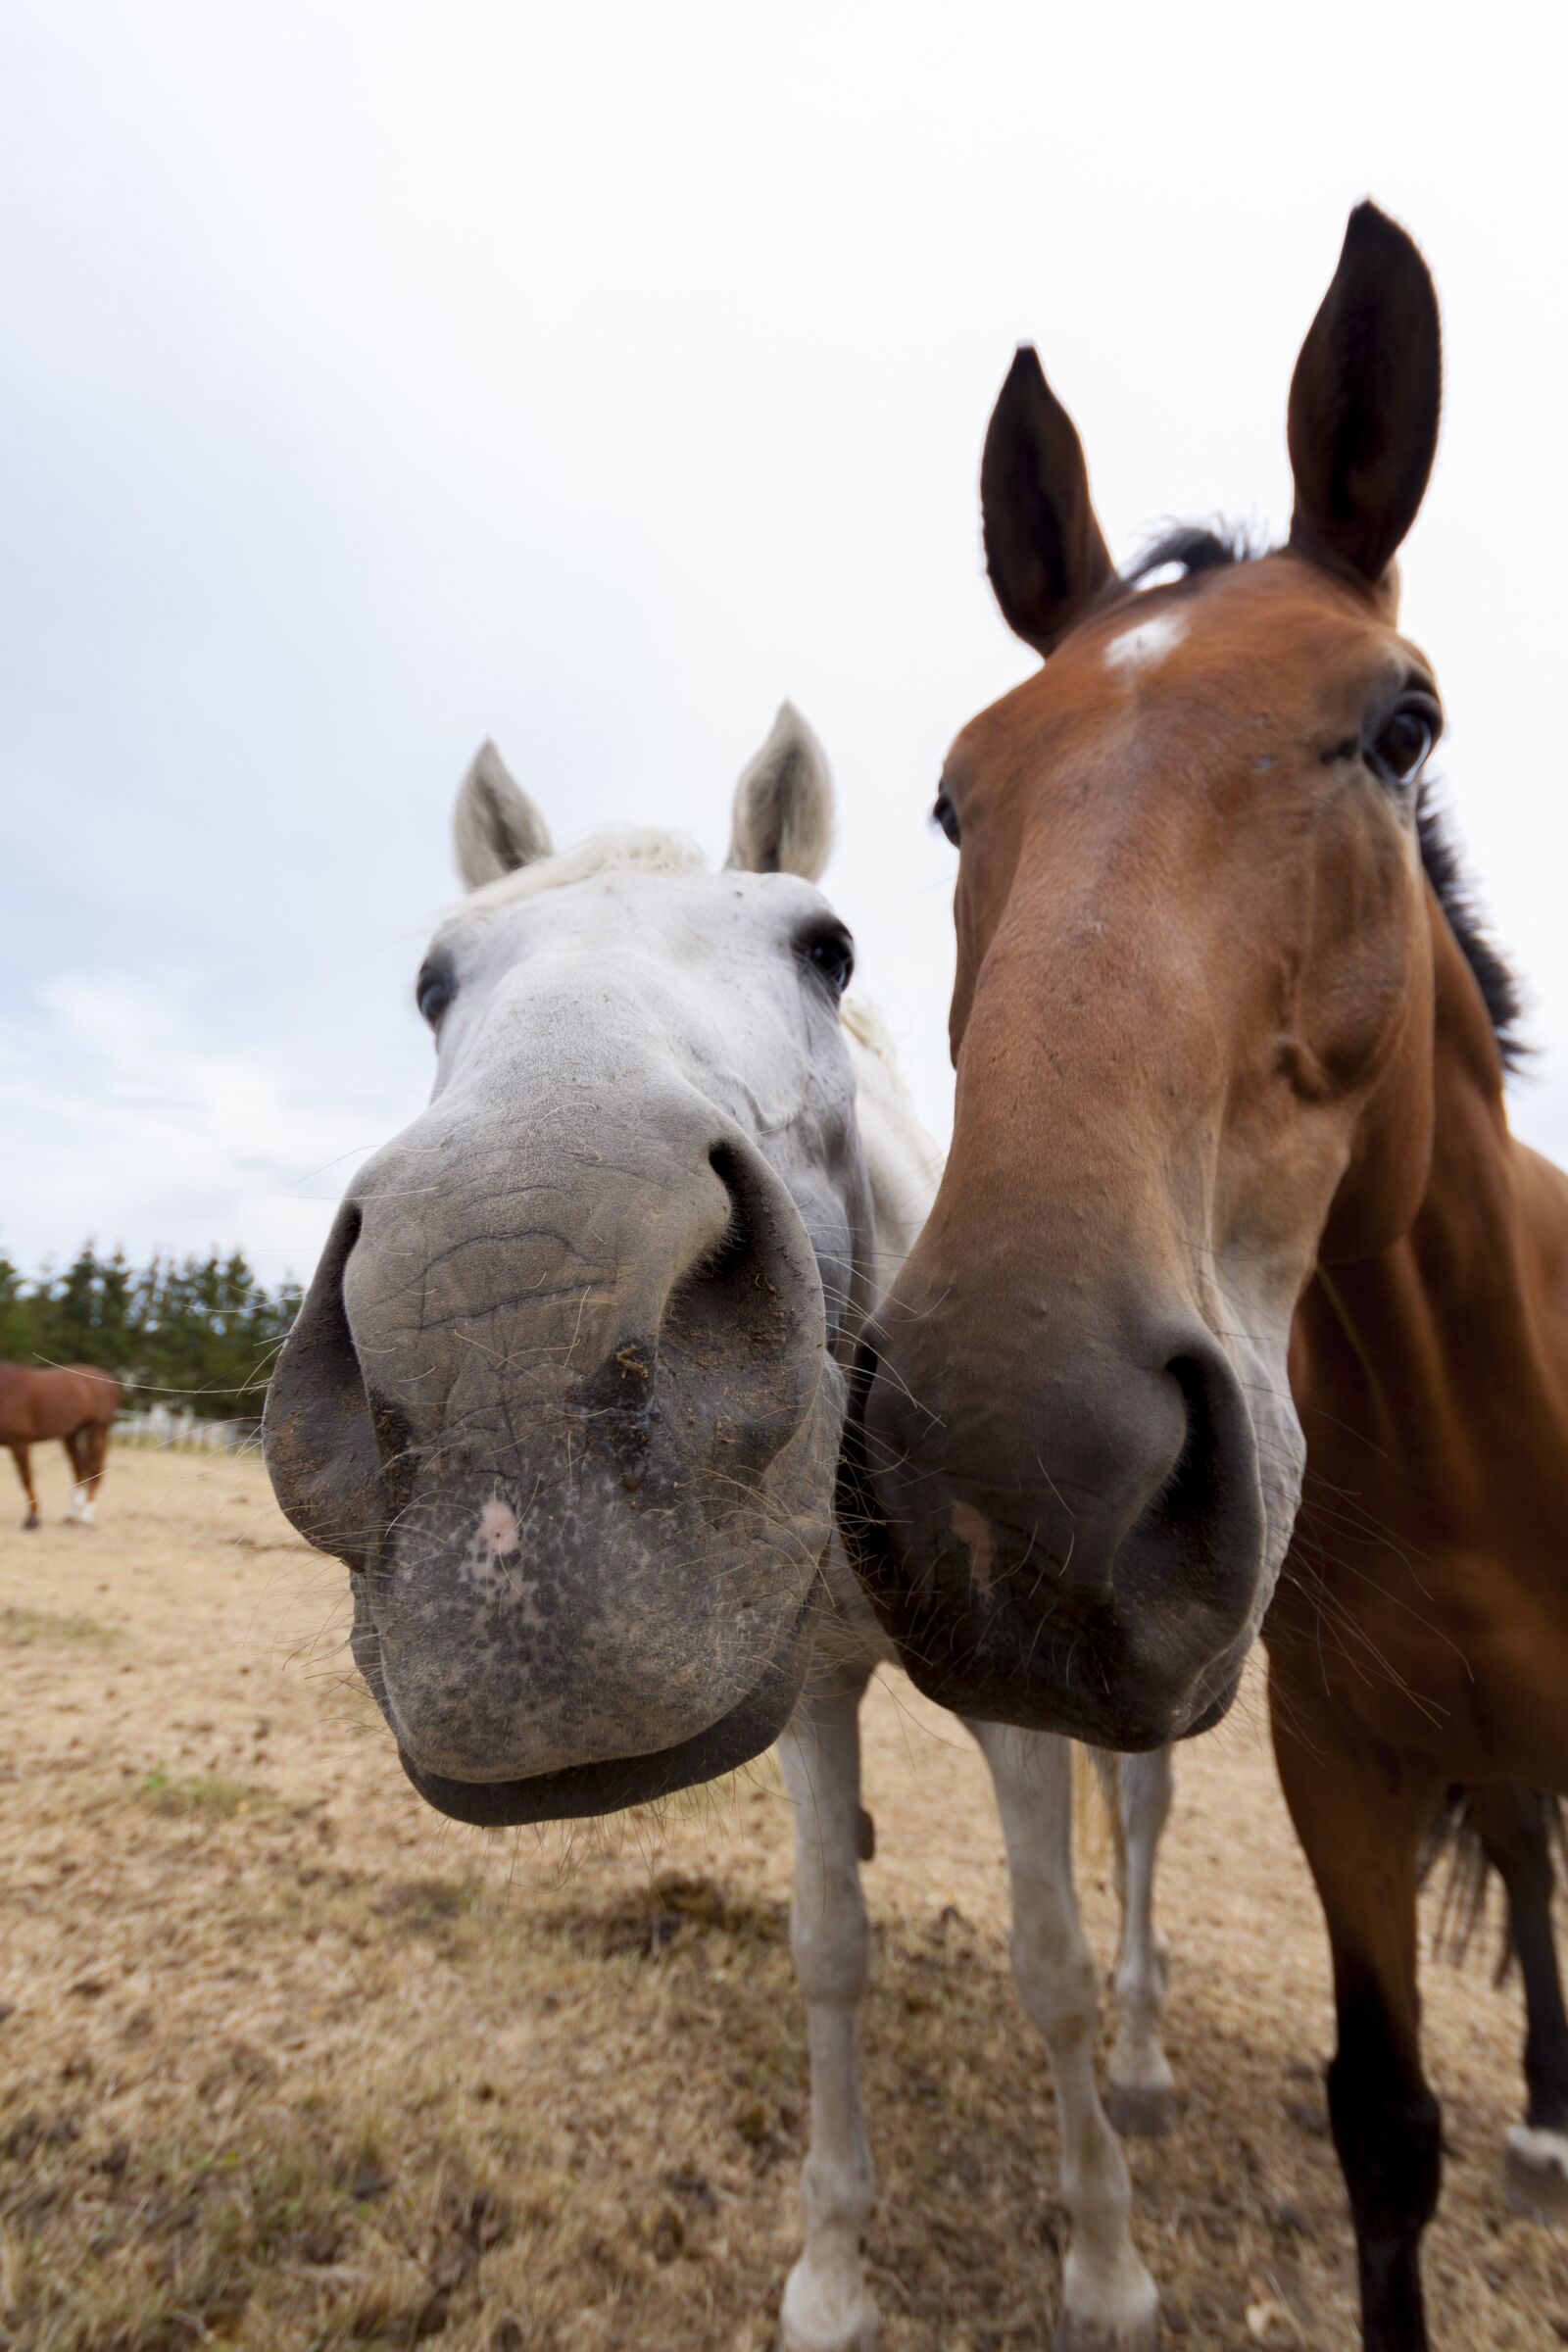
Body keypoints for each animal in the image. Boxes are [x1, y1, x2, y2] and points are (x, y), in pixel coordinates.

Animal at [0, 1361, 118, 1528]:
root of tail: (107, 1378)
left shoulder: (19, 1442)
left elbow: (26, 1478)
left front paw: (32, 1518)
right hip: (72, 1433)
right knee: (79, 1467)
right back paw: (72, 1513)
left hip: (98, 1429)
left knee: (94, 1467)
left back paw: (86, 1515)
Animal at [265, 710, 1175, 2351]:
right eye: (435, 979)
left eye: (826, 948)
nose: (505, 1321)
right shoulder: (805, 1691)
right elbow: (830, 1952)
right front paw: (832, 2273)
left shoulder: (1019, 1706)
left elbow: (1053, 1962)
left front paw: (1105, 2266)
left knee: (1135, 1835)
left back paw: (1141, 2070)